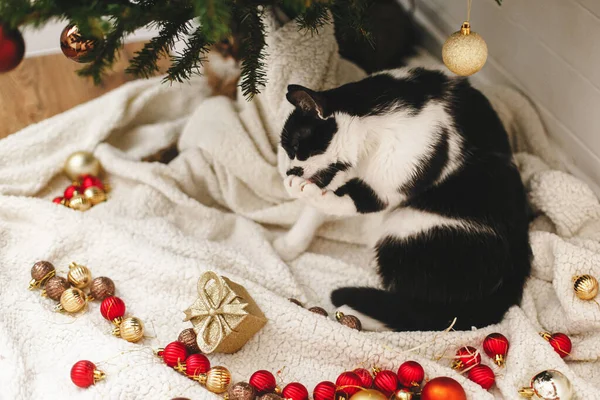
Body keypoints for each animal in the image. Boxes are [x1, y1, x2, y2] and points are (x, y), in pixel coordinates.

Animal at [274, 68, 528, 332]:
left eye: (296, 147)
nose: (290, 171)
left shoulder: (407, 165)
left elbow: (357, 202)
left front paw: (301, 190)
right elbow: (315, 211)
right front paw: (289, 245)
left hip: (409, 229)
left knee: (419, 314)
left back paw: (351, 313)